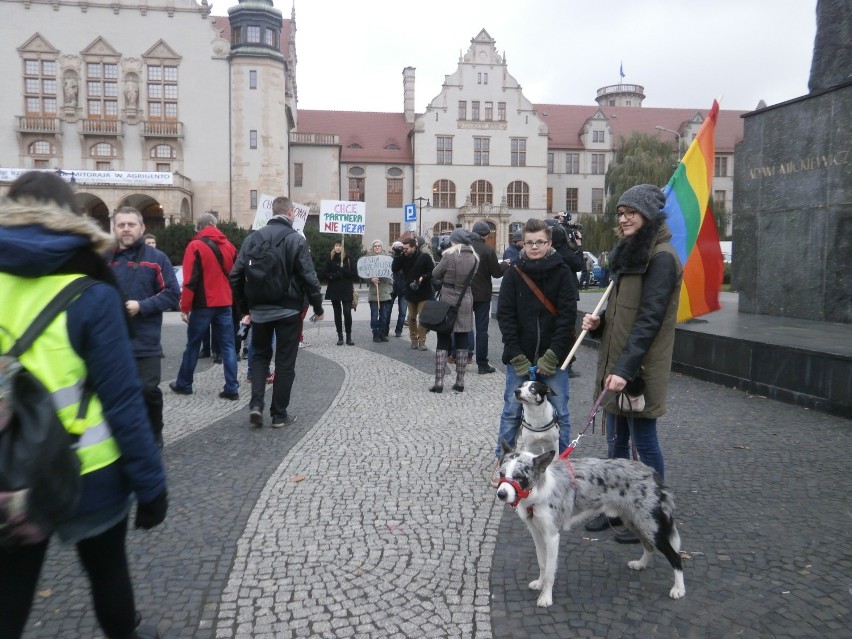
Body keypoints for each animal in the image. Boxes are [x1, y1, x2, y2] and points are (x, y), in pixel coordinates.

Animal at [496, 442, 684, 608]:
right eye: (501, 474)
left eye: (519, 477)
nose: (501, 494)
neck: (538, 490)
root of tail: (651, 471)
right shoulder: (536, 533)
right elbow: (542, 563)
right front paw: (540, 584)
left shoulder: (552, 536)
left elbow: (550, 571)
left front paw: (546, 597)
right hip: (633, 520)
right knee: (648, 546)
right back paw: (641, 564)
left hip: (649, 525)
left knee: (675, 556)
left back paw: (679, 589)